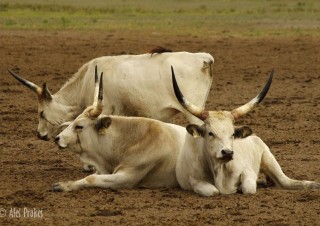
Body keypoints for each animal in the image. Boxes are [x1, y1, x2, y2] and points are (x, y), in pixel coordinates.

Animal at [172, 67, 320, 196]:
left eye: (232, 134)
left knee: (286, 181)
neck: (219, 170)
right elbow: (213, 191)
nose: (227, 152)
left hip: (268, 157)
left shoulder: (248, 170)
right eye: (210, 133)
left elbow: (248, 187)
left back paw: (313, 185)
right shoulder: (194, 180)